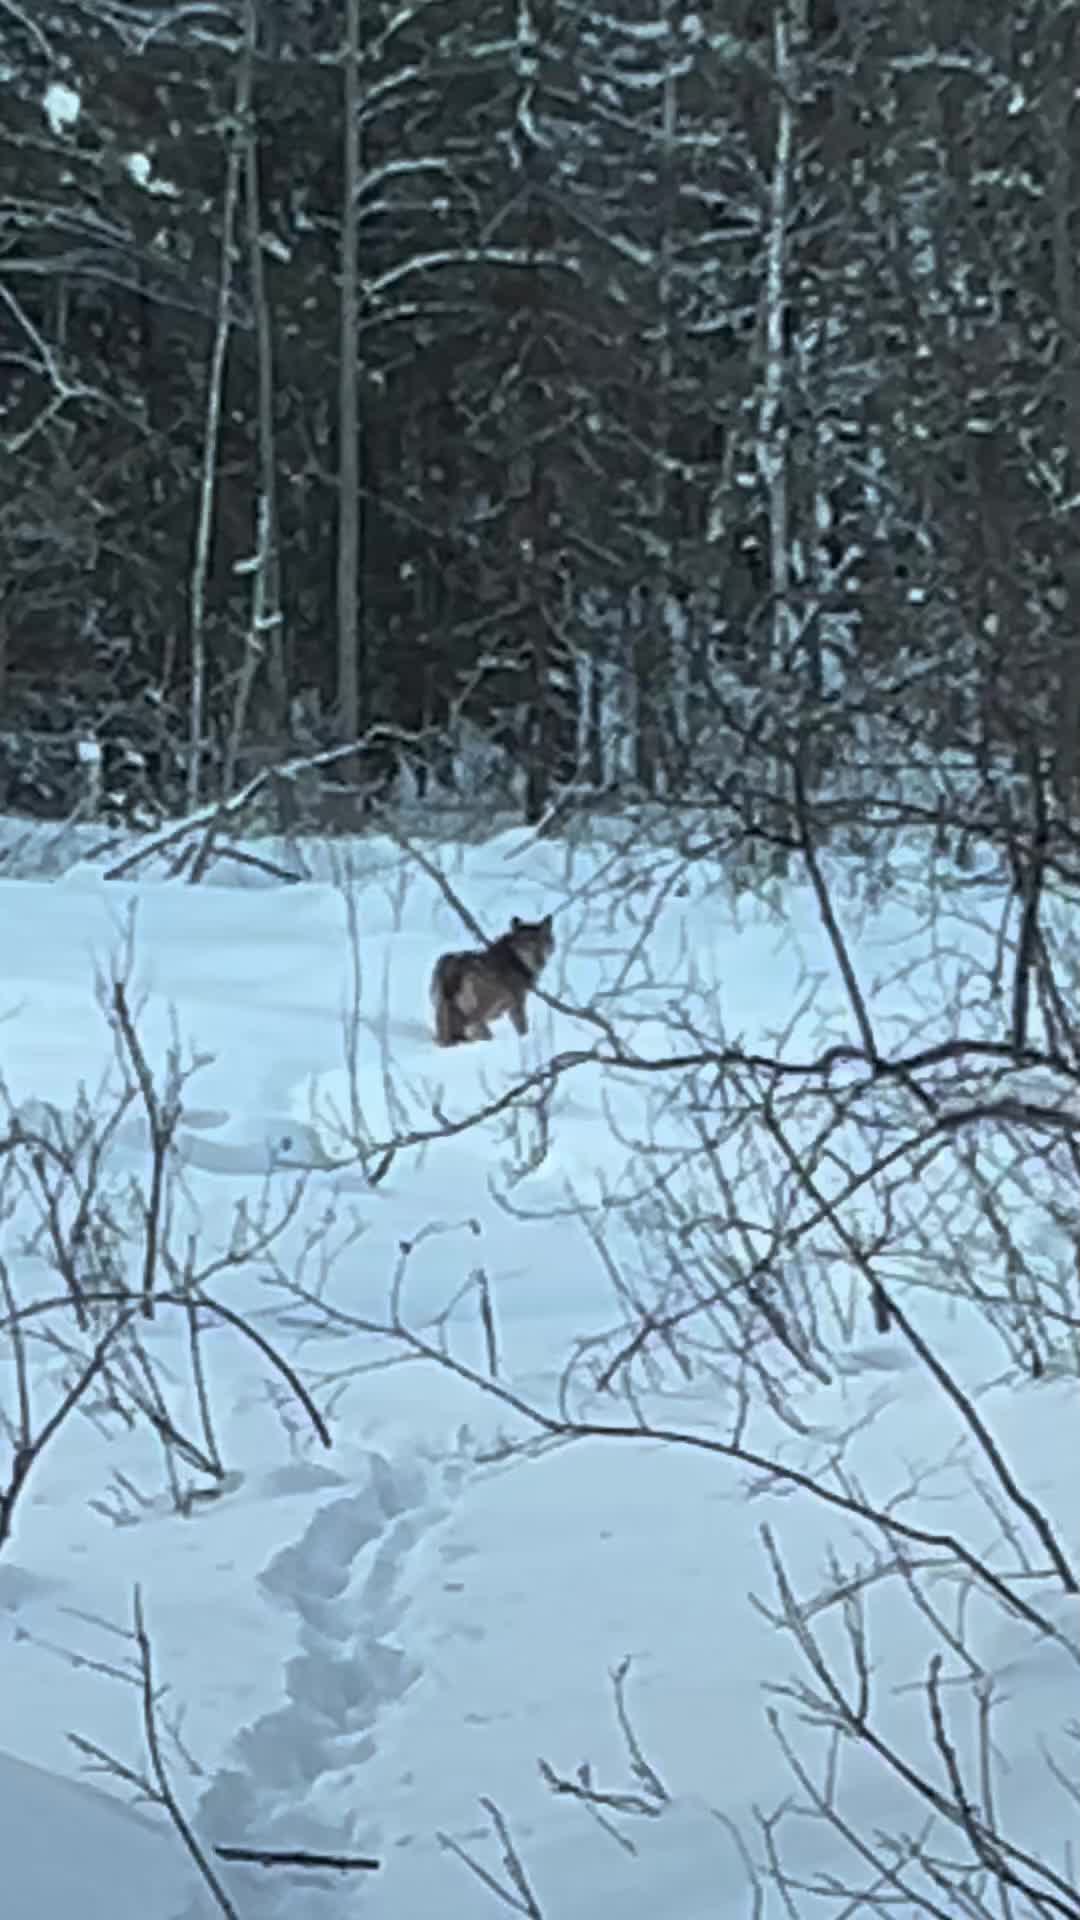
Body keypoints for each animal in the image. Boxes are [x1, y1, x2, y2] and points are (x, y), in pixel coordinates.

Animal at [426, 913, 549, 1052]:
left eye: (543, 942)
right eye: (528, 945)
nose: (541, 961)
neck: (514, 957)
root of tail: (454, 967)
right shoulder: (517, 1002)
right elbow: (523, 1028)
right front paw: (525, 1041)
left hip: (444, 1011)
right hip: (476, 1013)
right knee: (476, 1028)